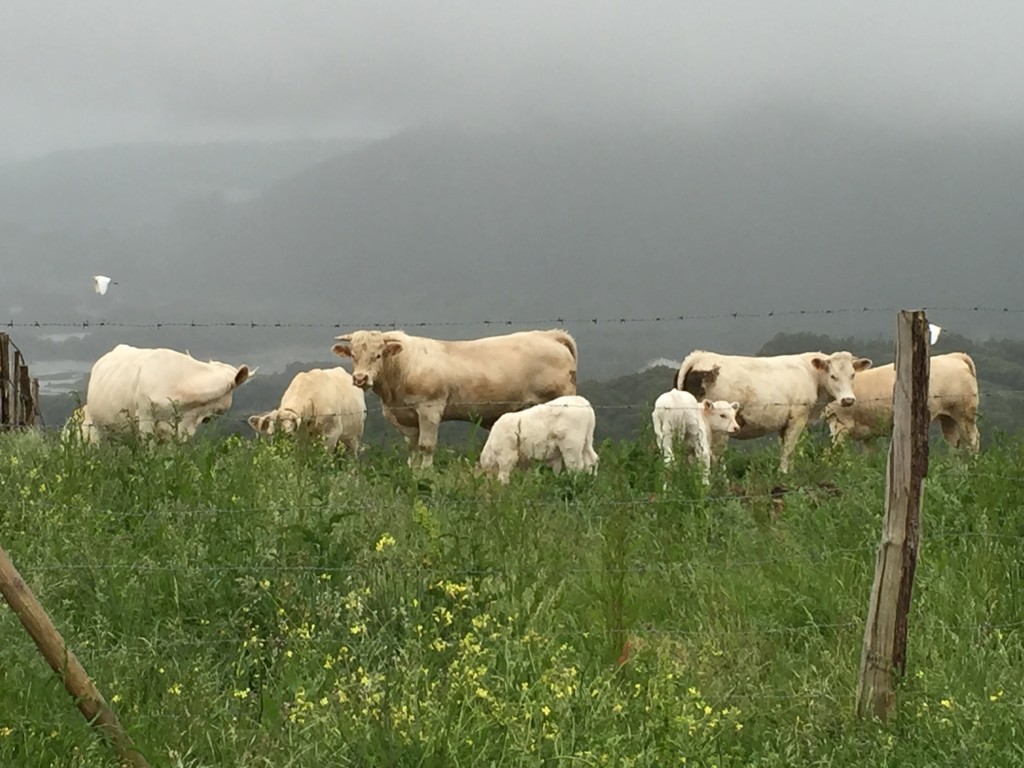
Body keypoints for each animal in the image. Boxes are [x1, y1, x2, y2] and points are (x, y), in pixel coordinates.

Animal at [333, 325, 581, 466]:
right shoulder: (406, 417)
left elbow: (426, 446)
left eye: (378, 355)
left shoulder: (430, 409)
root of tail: (550, 336)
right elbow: (413, 448)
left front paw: (425, 475)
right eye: (353, 355)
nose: (360, 378)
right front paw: (413, 473)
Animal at [675, 350, 876, 473]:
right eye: (833, 376)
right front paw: (784, 473)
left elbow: (786, 447)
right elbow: (789, 448)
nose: (848, 400)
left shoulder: (784, 422)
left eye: (852, 375)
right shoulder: (798, 417)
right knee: (711, 454)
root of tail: (699, 356)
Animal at [819, 350, 978, 448]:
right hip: (948, 417)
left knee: (973, 440)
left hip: (964, 414)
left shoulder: (840, 426)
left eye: (852, 374)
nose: (847, 400)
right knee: (954, 442)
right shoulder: (868, 433)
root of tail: (955, 356)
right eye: (832, 376)